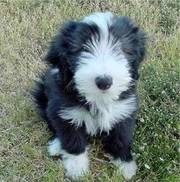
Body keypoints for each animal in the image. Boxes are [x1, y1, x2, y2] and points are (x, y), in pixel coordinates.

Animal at [32, 12, 146, 180]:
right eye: (83, 48)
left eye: (120, 48)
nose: (104, 81)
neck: (99, 99)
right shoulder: (65, 112)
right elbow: (73, 140)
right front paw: (77, 169)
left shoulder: (125, 111)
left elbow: (121, 138)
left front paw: (125, 165)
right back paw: (56, 146)